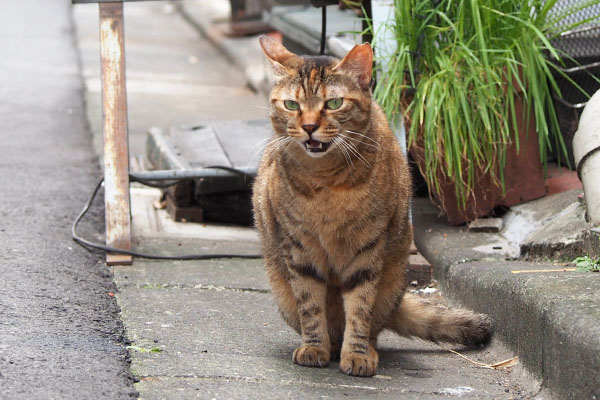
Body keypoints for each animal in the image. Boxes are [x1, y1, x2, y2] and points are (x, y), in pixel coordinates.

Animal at [253, 36, 492, 376]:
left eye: (333, 103)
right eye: (291, 105)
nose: (309, 126)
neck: (325, 183)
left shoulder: (367, 250)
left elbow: (360, 308)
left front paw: (357, 354)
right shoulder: (299, 250)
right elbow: (310, 305)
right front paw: (314, 347)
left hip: (390, 281)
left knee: (373, 326)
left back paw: (365, 348)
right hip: (282, 290)